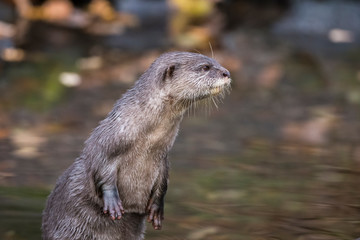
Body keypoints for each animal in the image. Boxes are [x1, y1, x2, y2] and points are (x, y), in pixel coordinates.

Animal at [41, 51, 231, 239]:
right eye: (205, 67)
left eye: (216, 61)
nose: (227, 73)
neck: (146, 142)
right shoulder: (106, 144)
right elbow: (101, 169)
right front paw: (112, 203)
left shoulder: (162, 157)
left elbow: (163, 183)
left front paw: (157, 208)